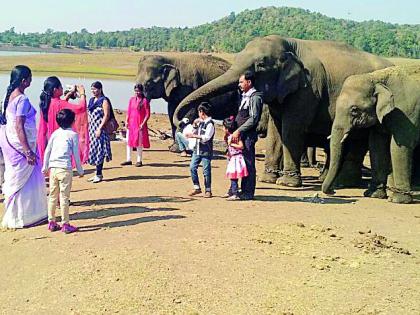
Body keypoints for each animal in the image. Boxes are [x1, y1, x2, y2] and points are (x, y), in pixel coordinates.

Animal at [173, 35, 390, 186]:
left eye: (260, 65)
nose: (184, 121)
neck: (291, 44)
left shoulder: (308, 89)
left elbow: (291, 129)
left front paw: (287, 183)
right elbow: (275, 130)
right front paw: (267, 179)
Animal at [324, 67, 420, 205]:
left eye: (354, 110)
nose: (333, 191)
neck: (376, 78)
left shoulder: (407, 112)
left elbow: (399, 147)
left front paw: (398, 200)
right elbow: (377, 145)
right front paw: (373, 195)